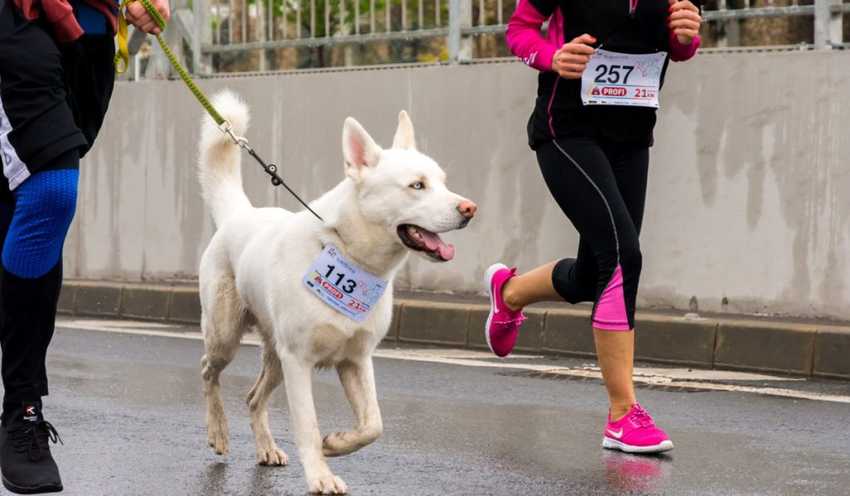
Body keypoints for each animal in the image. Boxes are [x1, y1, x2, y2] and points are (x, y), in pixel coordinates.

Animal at [195, 91, 474, 494]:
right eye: (417, 186)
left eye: (443, 181)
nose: (470, 208)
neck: (347, 252)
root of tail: (239, 215)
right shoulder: (299, 362)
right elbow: (308, 426)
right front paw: (320, 476)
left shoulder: (356, 360)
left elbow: (373, 425)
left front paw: (337, 443)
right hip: (226, 337)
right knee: (208, 372)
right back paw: (217, 430)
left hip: (275, 357)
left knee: (252, 397)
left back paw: (266, 447)